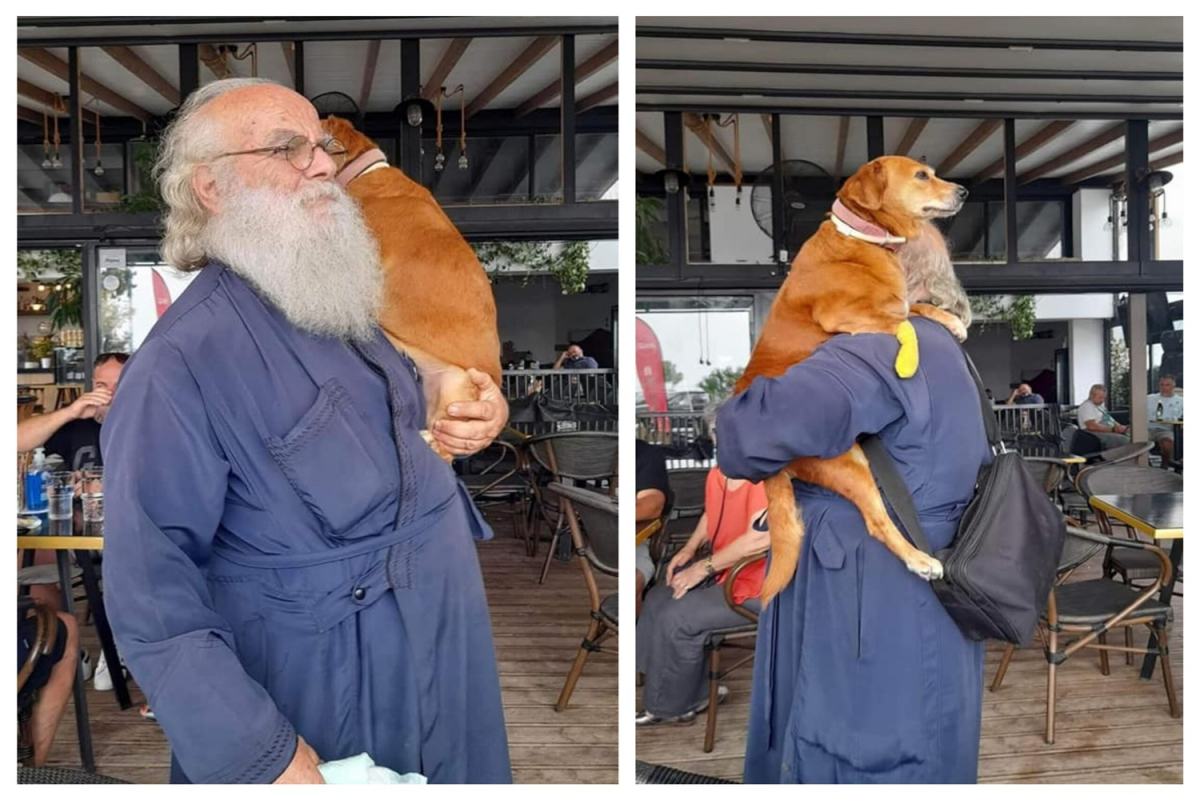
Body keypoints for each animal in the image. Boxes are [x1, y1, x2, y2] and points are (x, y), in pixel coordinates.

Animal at [734, 154, 969, 606]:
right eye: (921, 175)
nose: (964, 191)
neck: (866, 239)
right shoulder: (843, 315)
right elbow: (905, 322)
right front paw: (912, 355)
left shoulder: (897, 302)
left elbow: (917, 309)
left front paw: (951, 322)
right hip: (852, 467)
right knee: (877, 522)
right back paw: (919, 560)